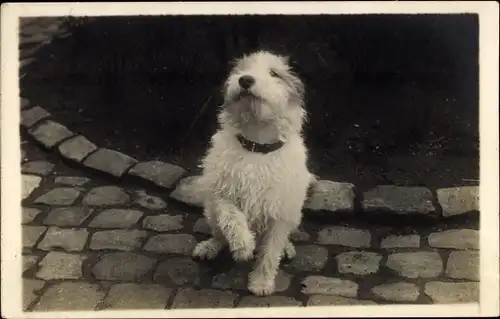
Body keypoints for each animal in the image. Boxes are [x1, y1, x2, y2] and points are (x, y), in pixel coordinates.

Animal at [192, 50, 314, 298]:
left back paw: (286, 248)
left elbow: (270, 251)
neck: (257, 146)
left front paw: (261, 282)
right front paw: (243, 245)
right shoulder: (222, 192)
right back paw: (210, 246)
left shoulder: (279, 213)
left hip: (294, 214)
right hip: (209, 210)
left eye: (274, 73)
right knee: (218, 232)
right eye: (242, 69)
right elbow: (231, 217)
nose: (245, 80)